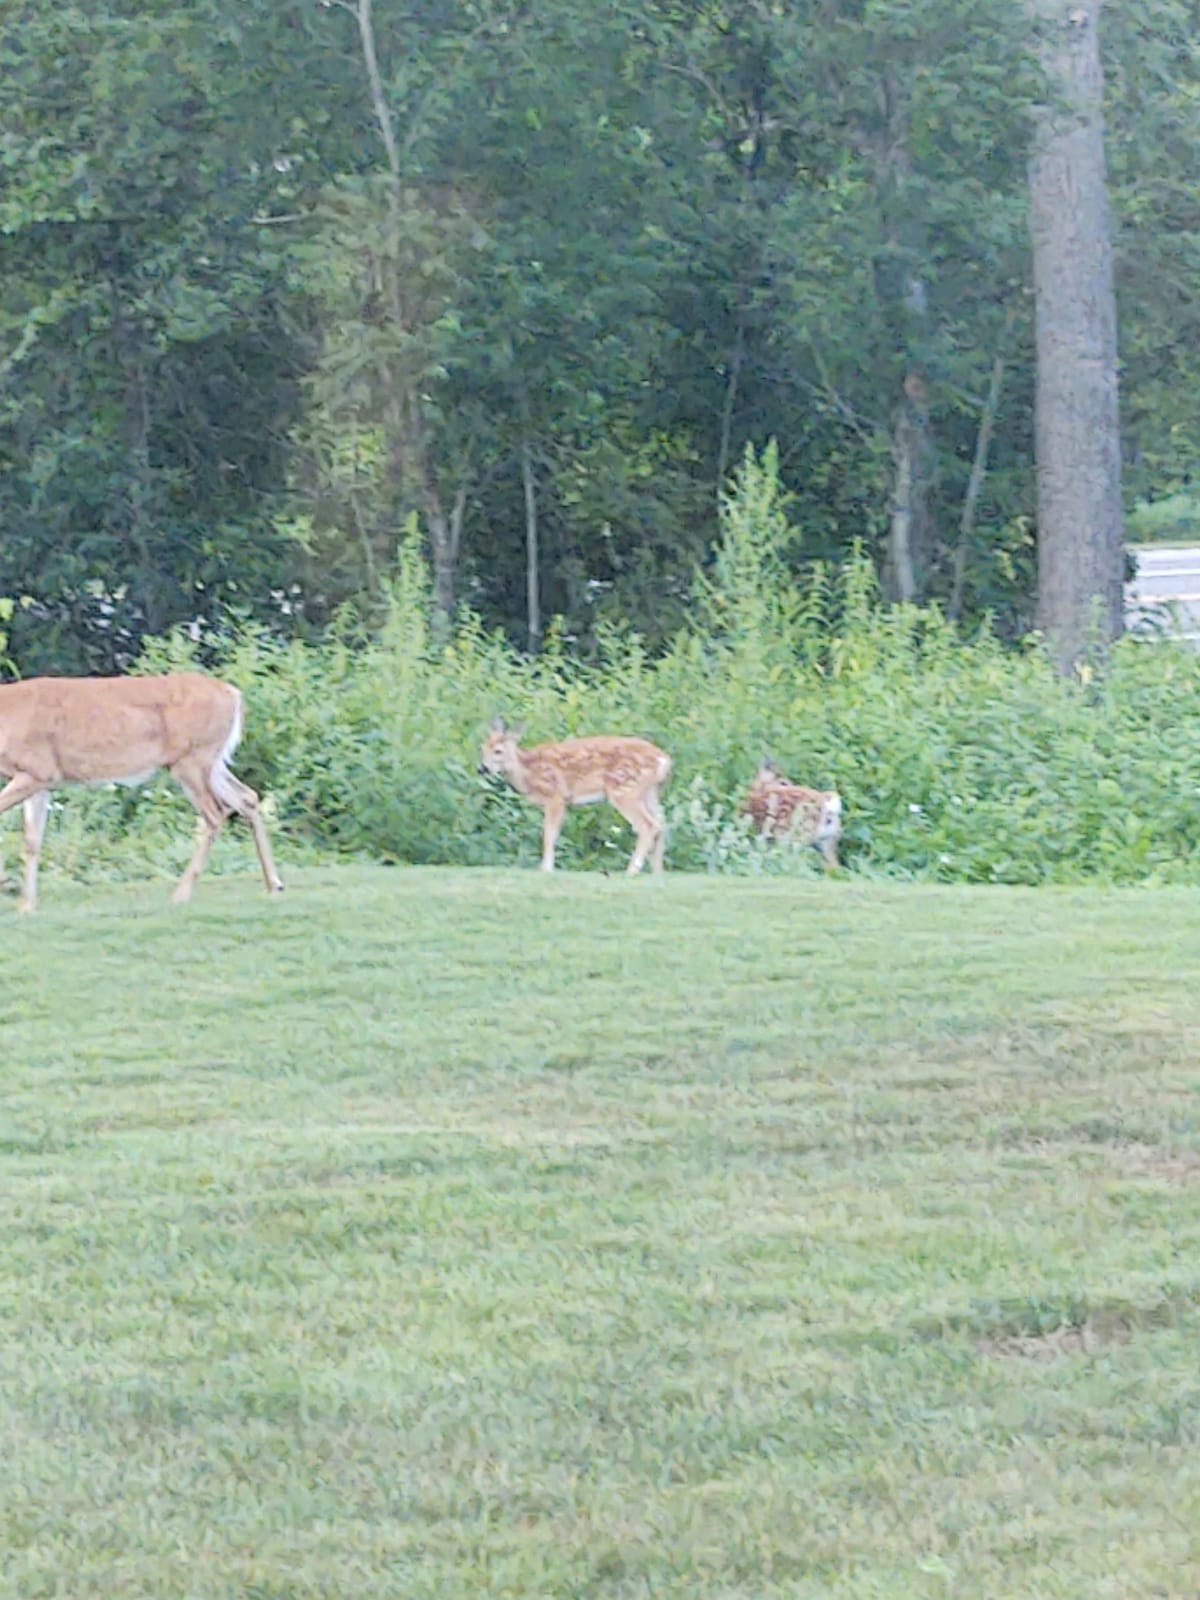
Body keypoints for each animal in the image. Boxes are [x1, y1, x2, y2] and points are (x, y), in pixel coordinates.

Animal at [0, 672, 284, 915]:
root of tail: (233, 694)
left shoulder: (37, 769)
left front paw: (24, 904)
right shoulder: (42, 779)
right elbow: (32, 841)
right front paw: (27, 905)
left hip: (192, 758)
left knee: (215, 813)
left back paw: (181, 893)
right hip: (210, 761)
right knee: (247, 798)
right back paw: (274, 884)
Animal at [476, 720, 672, 876]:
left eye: (498, 751)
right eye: (482, 748)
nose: (482, 768)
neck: (528, 772)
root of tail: (664, 759)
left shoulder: (556, 796)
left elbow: (549, 832)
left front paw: (546, 868)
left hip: (624, 790)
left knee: (648, 825)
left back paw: (632, 870)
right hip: (649, 791)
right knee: (661, 823)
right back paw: (657, 872)